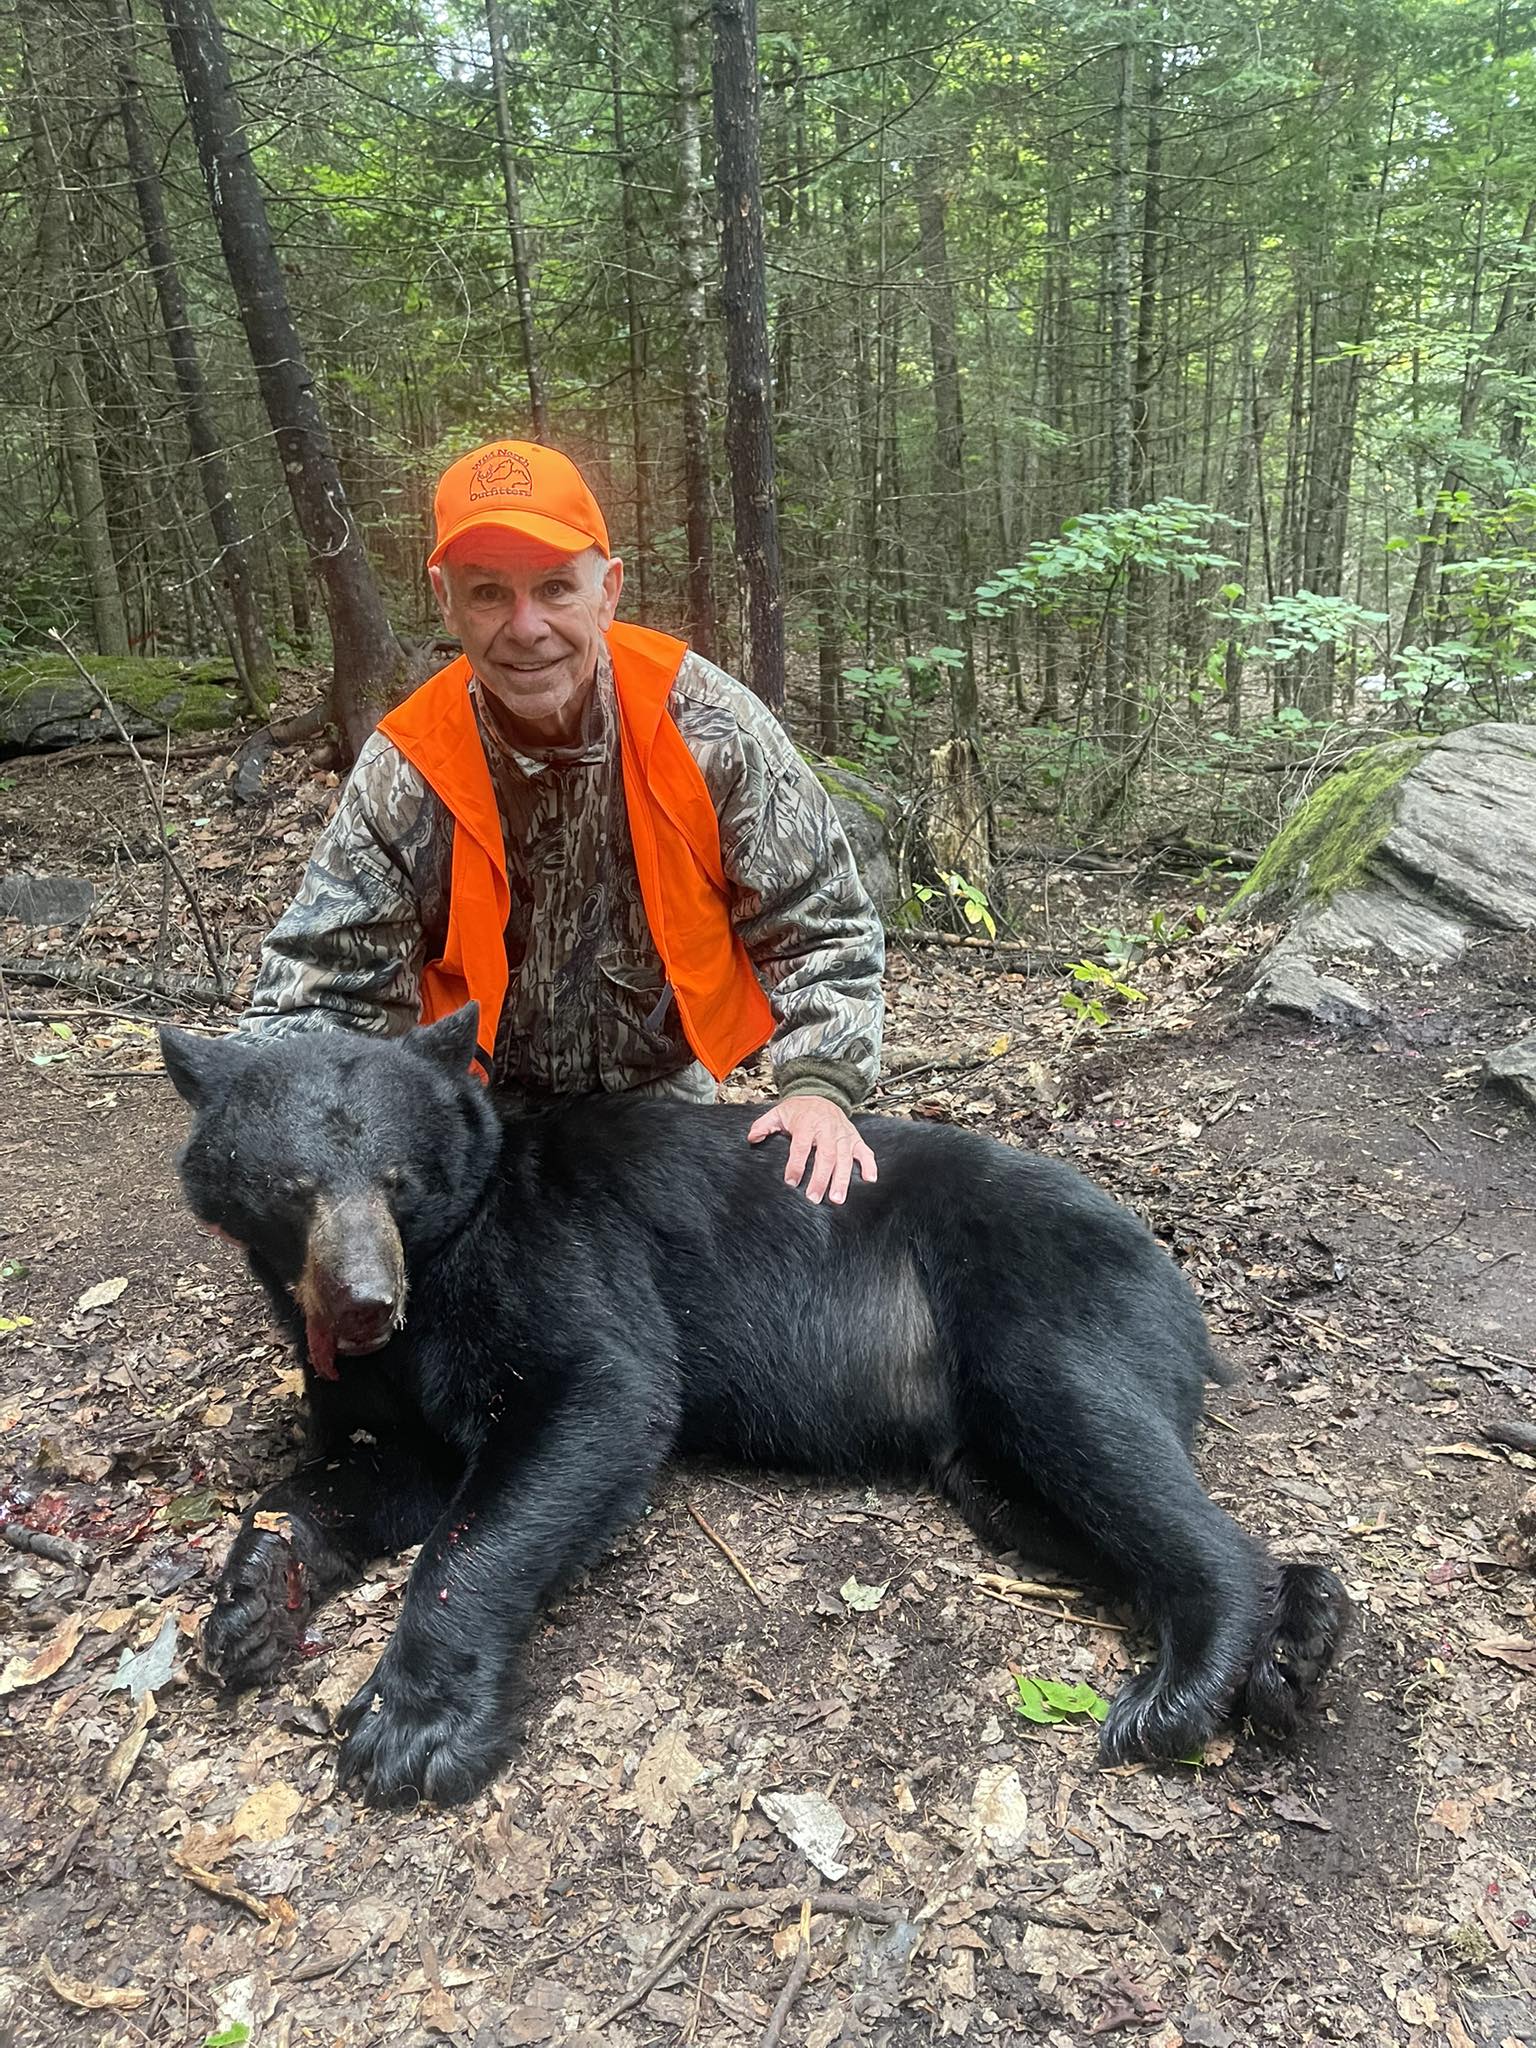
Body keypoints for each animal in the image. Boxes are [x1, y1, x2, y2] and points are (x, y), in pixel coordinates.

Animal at [159, 1003, 1348, 1807]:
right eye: (295, 1188)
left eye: (397, 1180)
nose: (366, 1302)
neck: (442, 1267)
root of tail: (1180, 1282)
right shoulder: (388, 1370)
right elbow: (380, 1465)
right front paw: (252, 1599)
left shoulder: (552, 1258)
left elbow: (590, 1404)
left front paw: (409, 1726)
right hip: (981, 1449)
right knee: (1060, 1495)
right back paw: (1303, 1634)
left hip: (1038, 1288)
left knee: (1089, 1421)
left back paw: (1194, 1676)